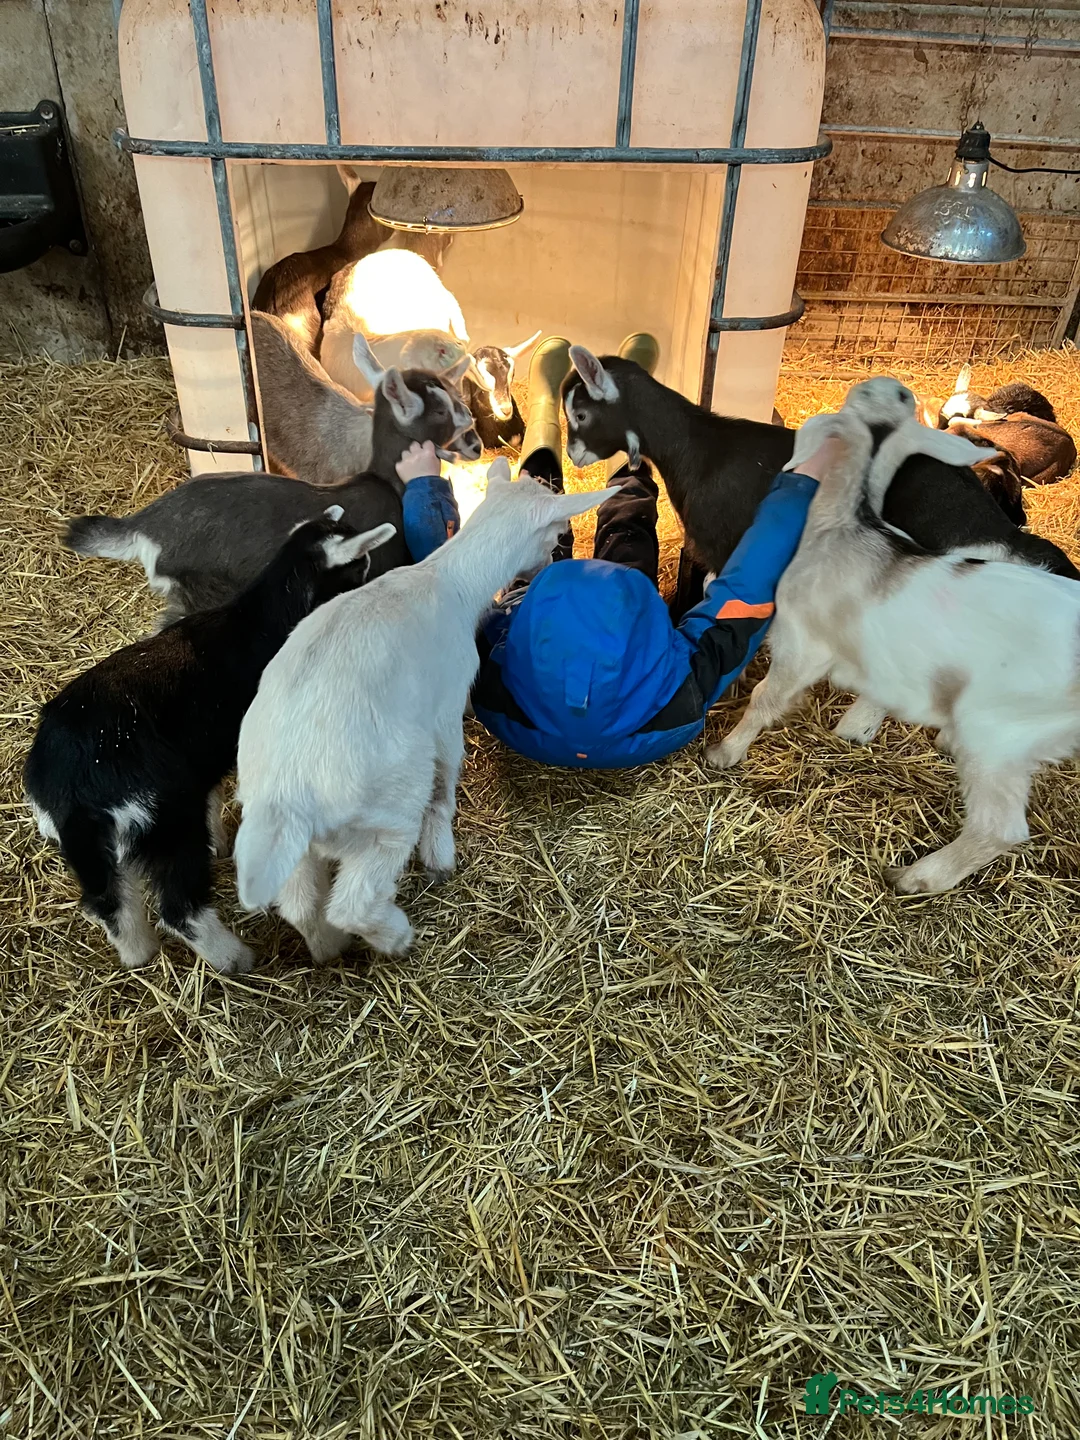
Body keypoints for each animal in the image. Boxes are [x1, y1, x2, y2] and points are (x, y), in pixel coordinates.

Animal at [25, 510, 394, 974]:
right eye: (361, 563)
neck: (262, 618)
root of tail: (68, 781)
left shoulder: (207, 754)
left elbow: (214, 791)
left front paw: (218, 839)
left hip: (90, 843)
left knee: (107, 901)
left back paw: (138, 955)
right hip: (163, 817)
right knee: (180, 908)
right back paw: (236, 959)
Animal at [232, 460, 620, 963]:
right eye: (555, 533)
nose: (546, 565)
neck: (449, 578)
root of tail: (287, 791)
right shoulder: (445, 704)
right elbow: (449, 768)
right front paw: (441, 848)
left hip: (287, 839)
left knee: (298, 902)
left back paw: (329, 948)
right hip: (389, 809)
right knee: (353, 901)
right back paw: (396, 936)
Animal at [708, 378, 1080, 895]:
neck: (847, 523)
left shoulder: (803, 645)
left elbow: (766, 697)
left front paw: (726, 751)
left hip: (1001, 730)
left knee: (999, 827)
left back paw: (917, 875)